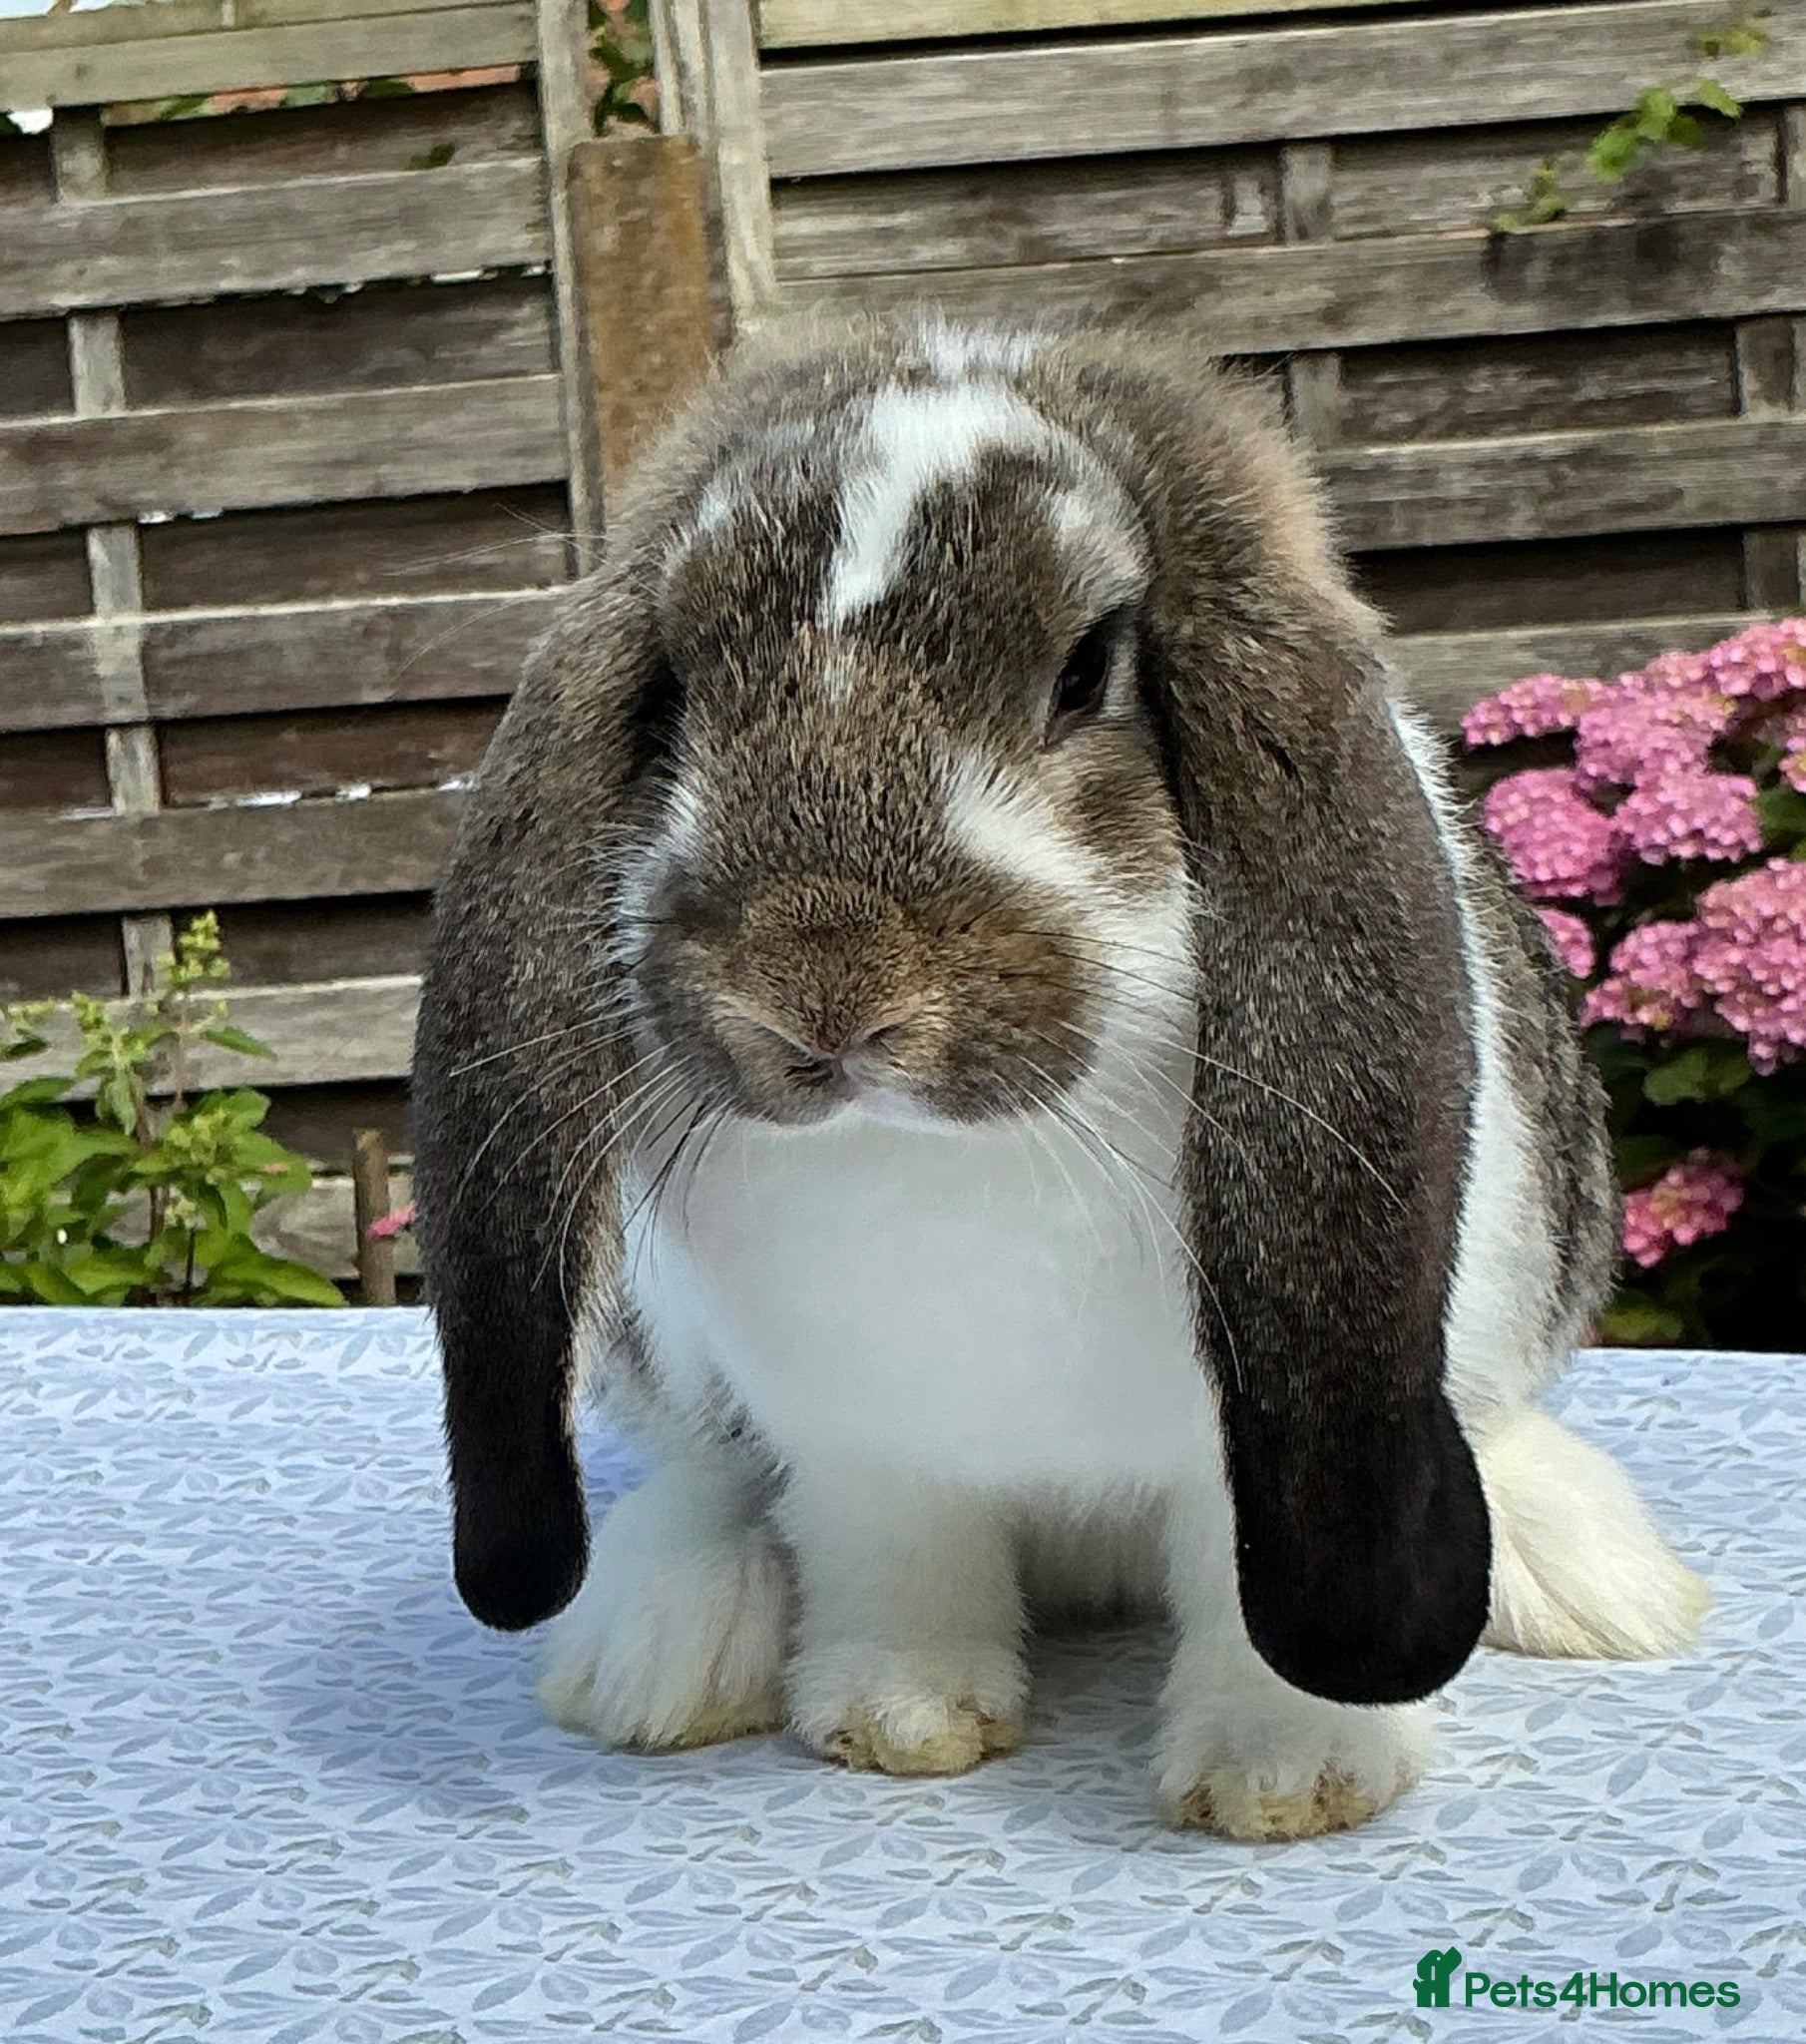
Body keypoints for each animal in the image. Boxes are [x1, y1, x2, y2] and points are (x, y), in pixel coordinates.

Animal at [412, 313, 1709, 1840]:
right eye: (675, 686)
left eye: (1086, 668)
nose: (818, 993)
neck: (950, 1160)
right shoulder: (866, 1442)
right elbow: (893, 1555)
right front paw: (900, 1718)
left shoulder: (1249, 1438)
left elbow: (1244, 1591)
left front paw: (1285, 1778)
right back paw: (658, 1648)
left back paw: (1585, 1573)